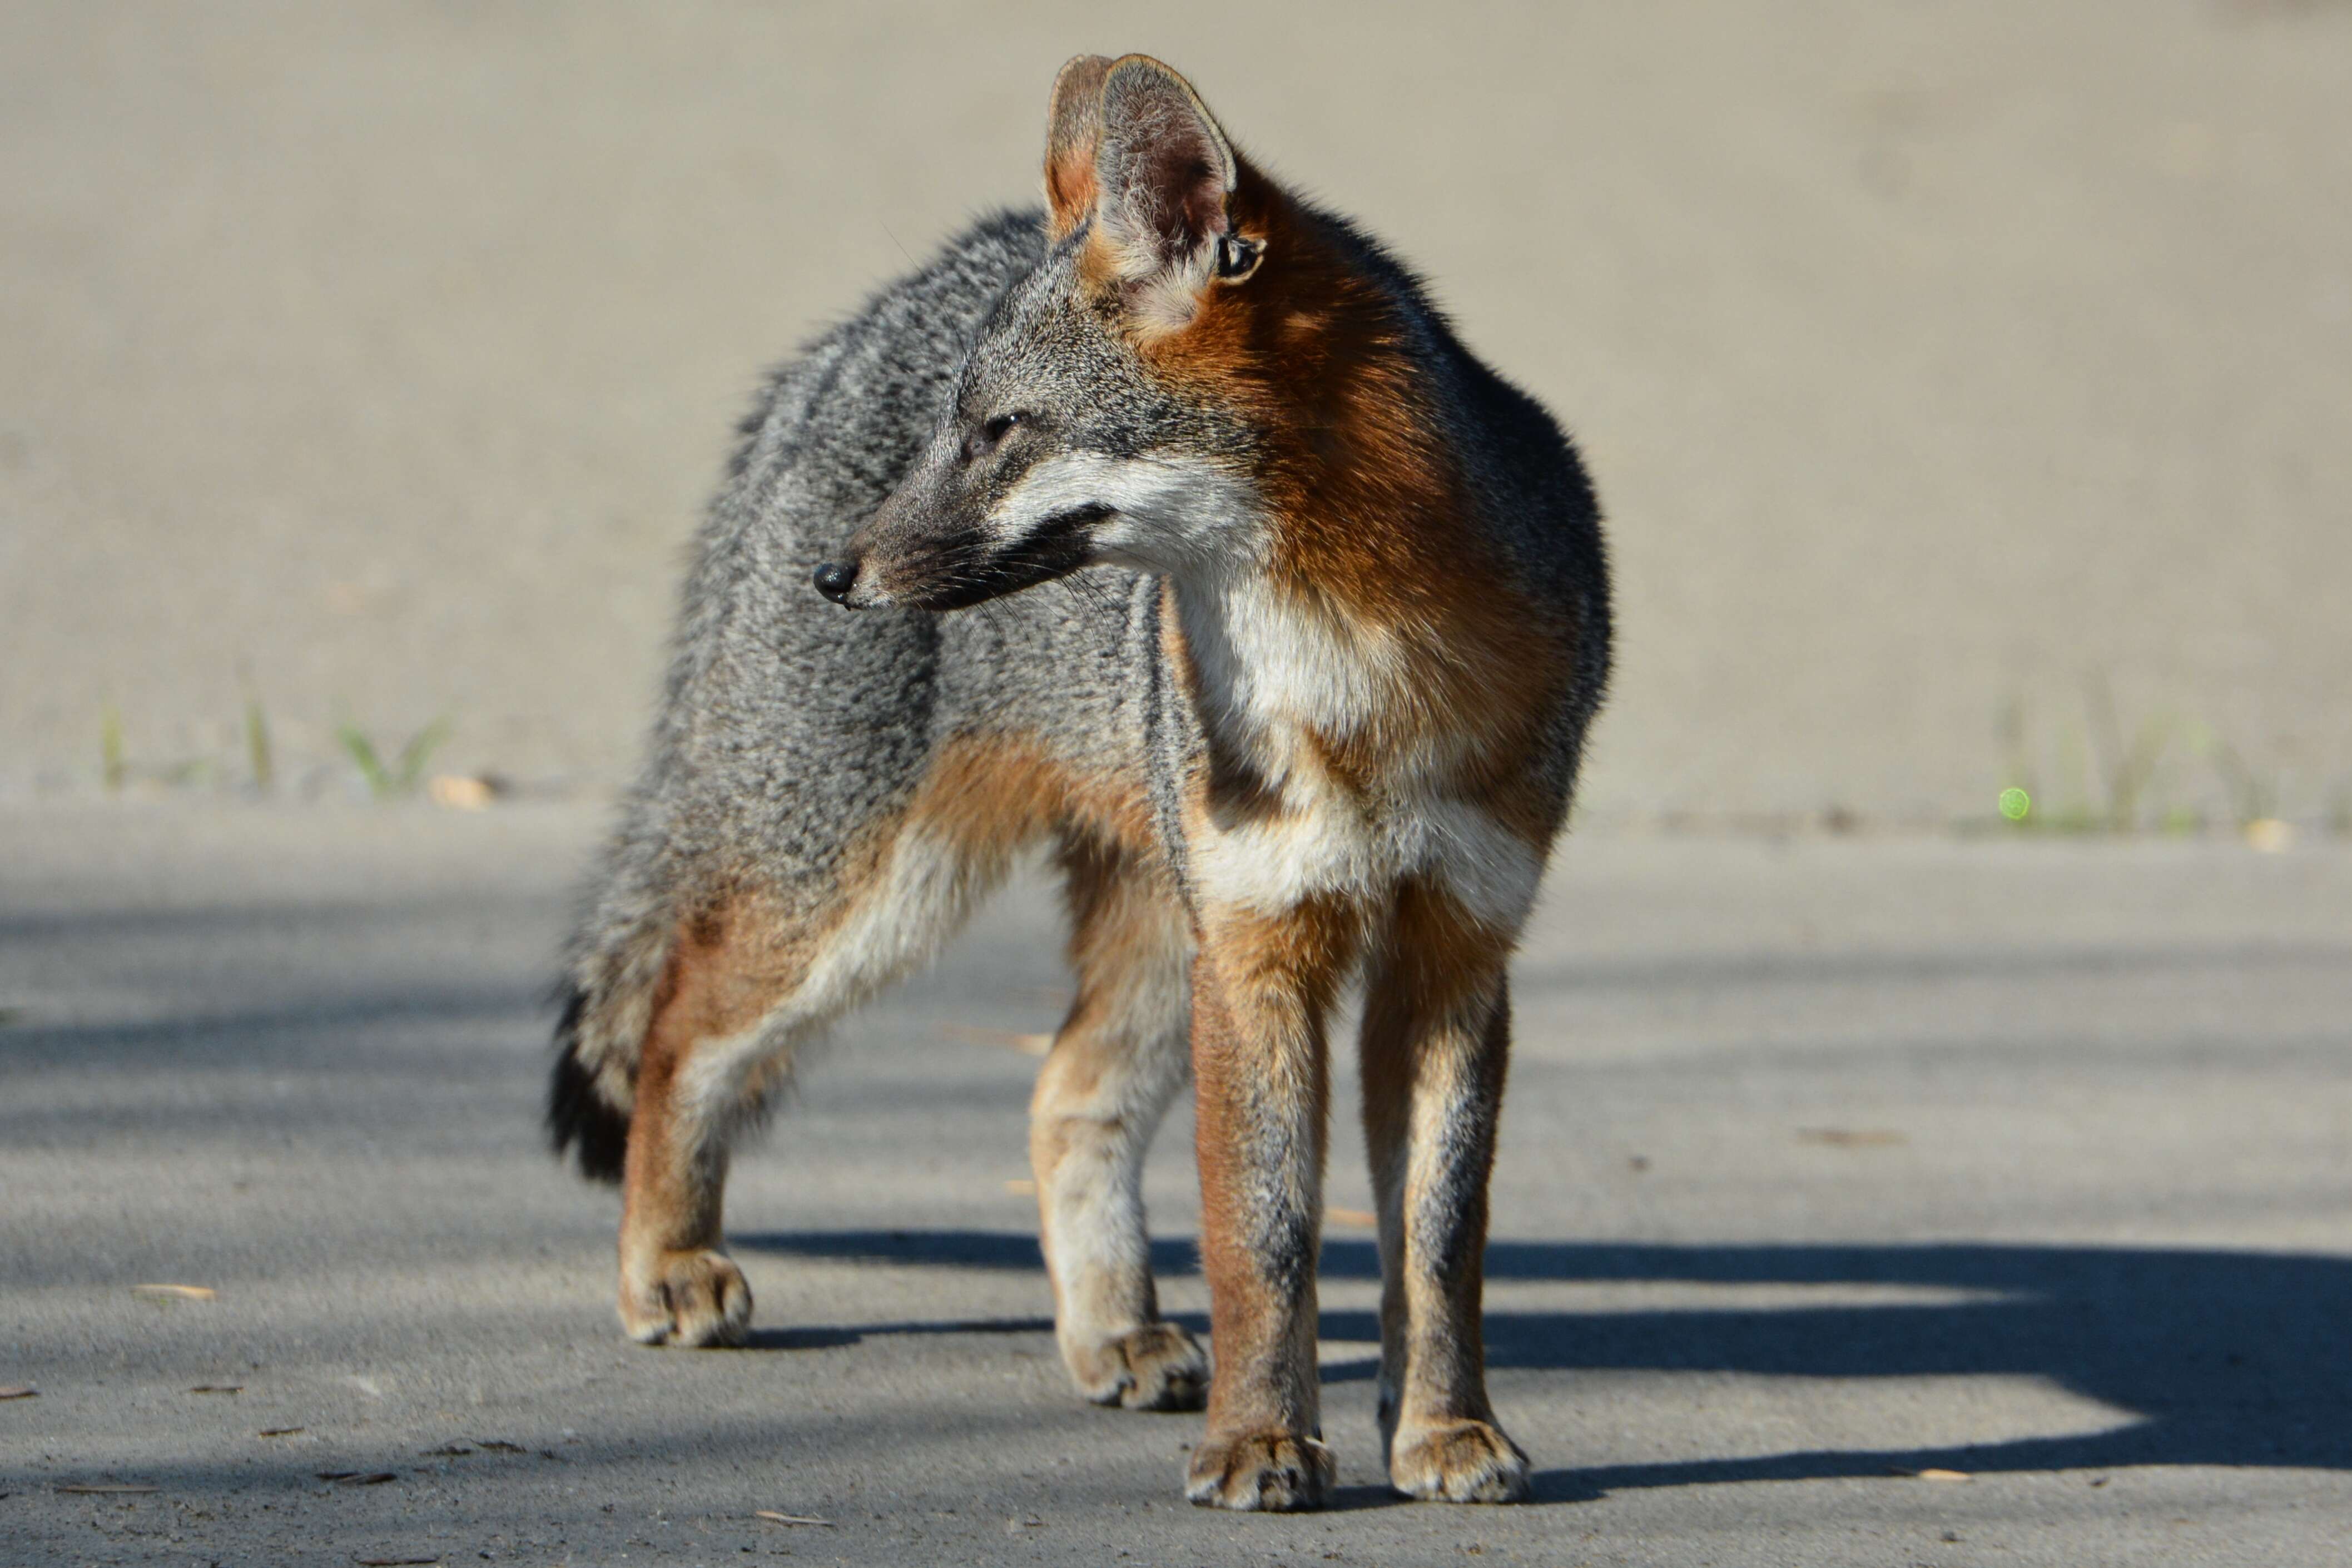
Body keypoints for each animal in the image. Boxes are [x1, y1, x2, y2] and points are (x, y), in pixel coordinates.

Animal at [553, 55, 1618, 1514]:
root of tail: (855, 324)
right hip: (871, 903)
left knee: (1060, 1090)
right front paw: (1260, 1440)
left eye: (1003, 431)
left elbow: (1440, 1239)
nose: (835, 574)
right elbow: (1261, 1232)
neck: (1362, 674)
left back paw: (1112, 1326)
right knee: (677, 1023)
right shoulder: (1260, 949)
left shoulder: (1454, 948)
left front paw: (1445, 1428)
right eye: (953, 430)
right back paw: (666, 1262)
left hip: (1154, 938)